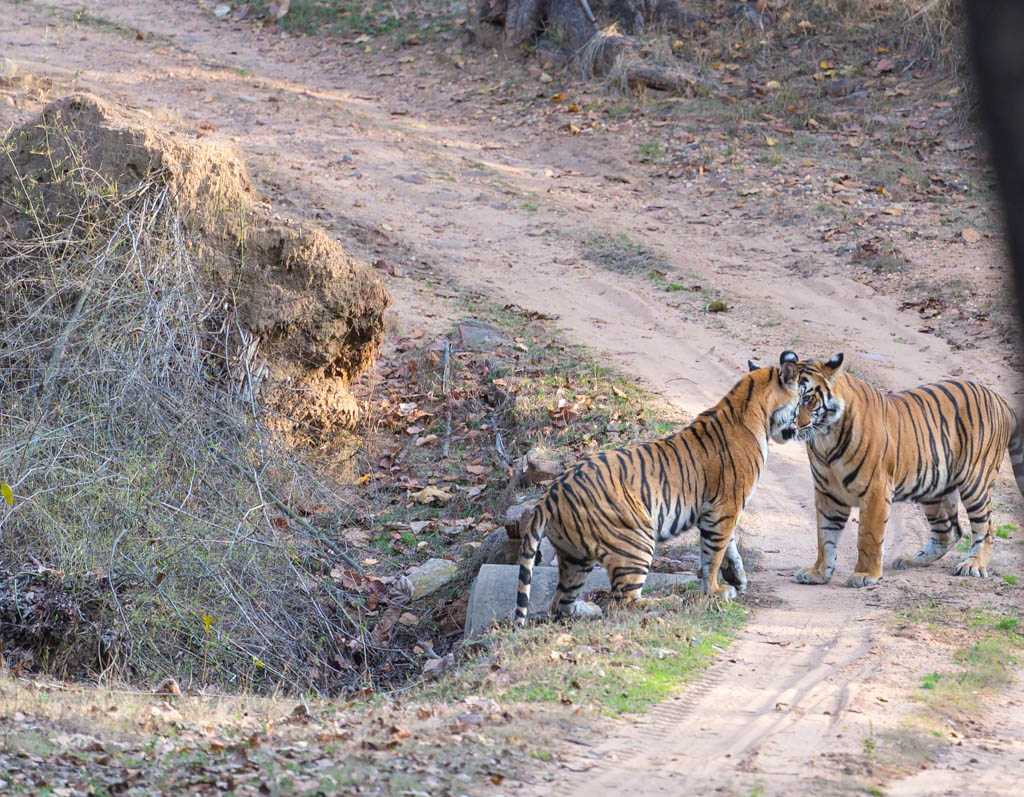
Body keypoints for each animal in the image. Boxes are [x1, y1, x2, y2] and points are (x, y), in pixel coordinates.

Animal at [513, 360, 801, 626]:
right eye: (800, 402)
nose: (800, 427)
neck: (753, 406)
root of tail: (550, 495)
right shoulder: (726, 508)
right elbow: (715, 554)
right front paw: (715, 591)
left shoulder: (716, 512)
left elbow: (727, 550)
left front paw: (737, 580)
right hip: (635, 540)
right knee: (622, 603)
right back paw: (667, 602)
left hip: (575, 558)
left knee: (560, 603)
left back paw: (590, 609)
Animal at [772, 350, 1024, 587]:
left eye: (806, 398)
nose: (788, 427)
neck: (825, 440)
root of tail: (1000, 401)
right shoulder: (828, 494)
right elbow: (825, 536)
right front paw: (818, 572)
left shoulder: (875, 489)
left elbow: (868, 535)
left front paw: (865, 575)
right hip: (934, 487)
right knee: (949, 530)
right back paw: (911, 560)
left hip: (975, 482)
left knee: (986, 528)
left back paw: (973, 565)